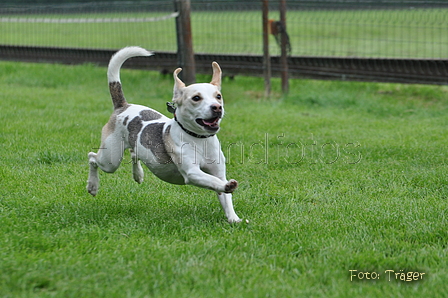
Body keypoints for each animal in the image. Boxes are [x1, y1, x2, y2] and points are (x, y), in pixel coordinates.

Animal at [87, 46, 242, 222]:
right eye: (196, 98)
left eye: (218, 96)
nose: (217, 107)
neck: (198, 139)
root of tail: (123, 106)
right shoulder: (192, 173)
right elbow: (214, 181)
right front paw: (228, 185)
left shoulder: (219, 171)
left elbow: (225, 196)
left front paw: (234, 219)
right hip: (110, 160)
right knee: (92, 157)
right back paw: (92, 185)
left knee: (133, 152)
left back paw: (138, 174)